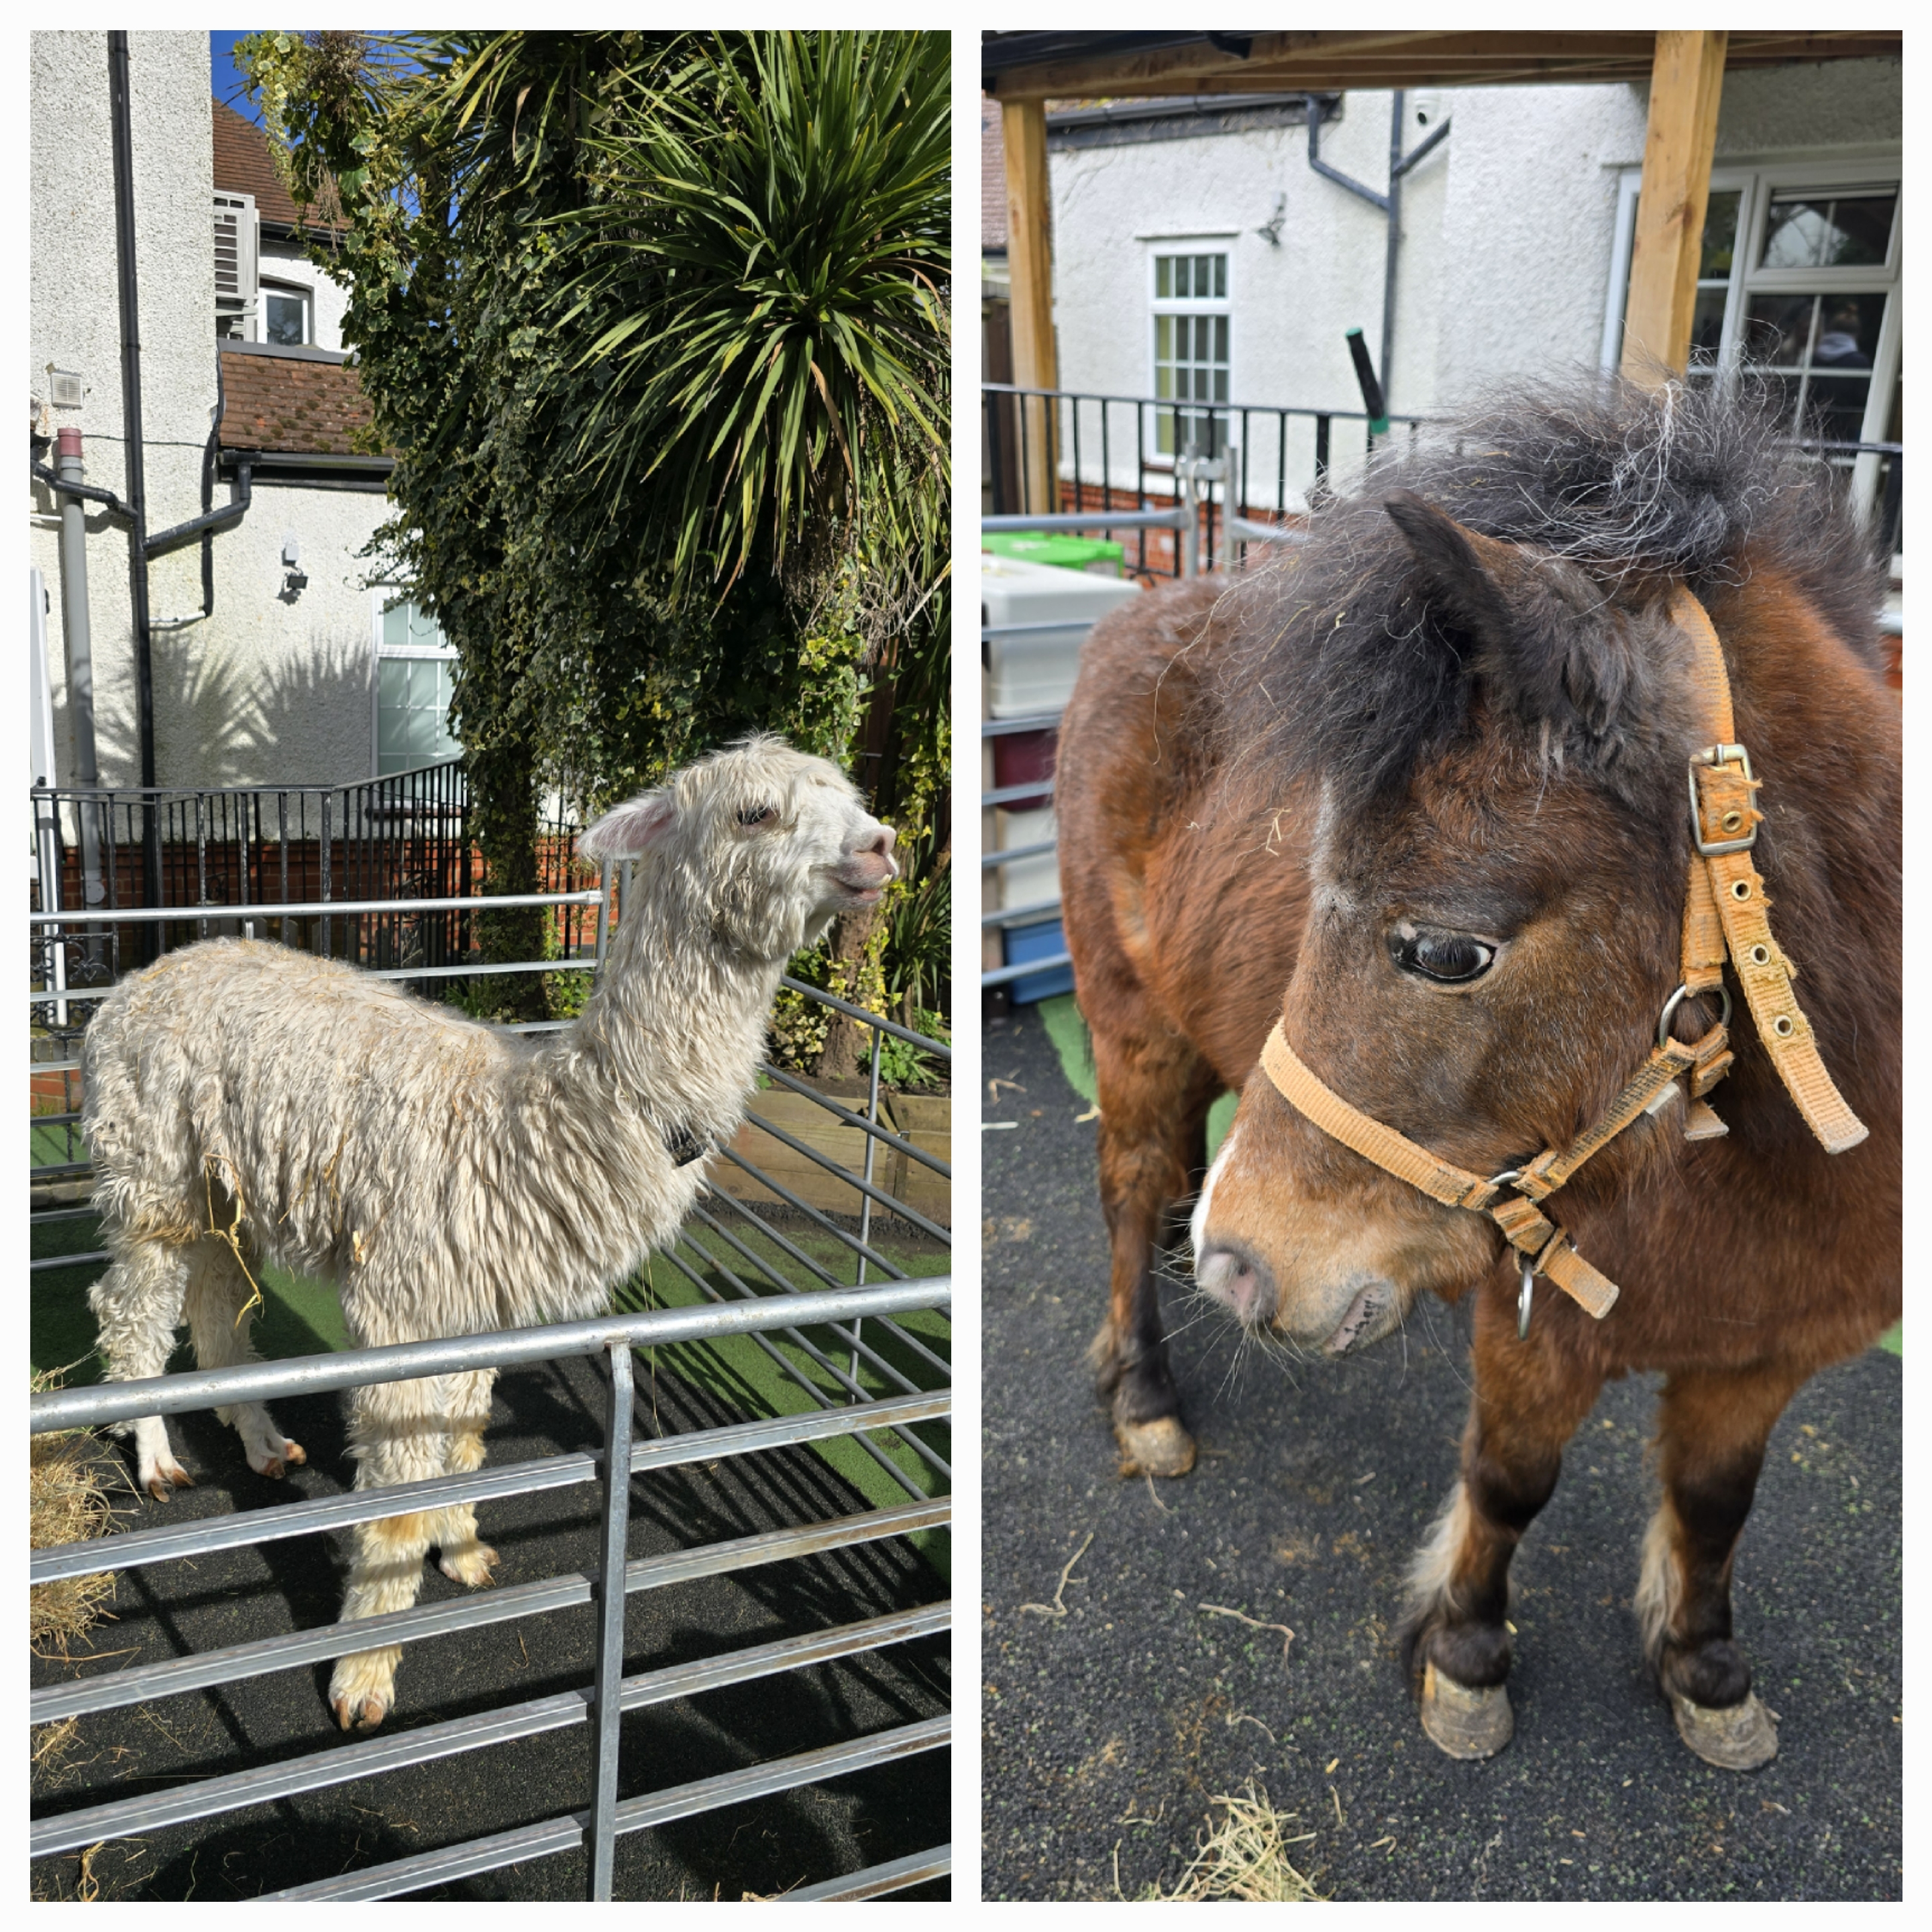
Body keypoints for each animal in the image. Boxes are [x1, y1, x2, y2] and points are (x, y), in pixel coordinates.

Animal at [1051, 376, 1893, 1770]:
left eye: (1448, 951)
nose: (1246, 1266)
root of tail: (1135, 613)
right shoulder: (1531, 1310)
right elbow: (1510, 1484)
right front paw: (1465, 1657)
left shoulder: (1770, 1351)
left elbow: (1717, 1504)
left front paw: (1706, 1668)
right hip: (1136, 1028)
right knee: (1124, 1182)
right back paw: (1147, 1391)